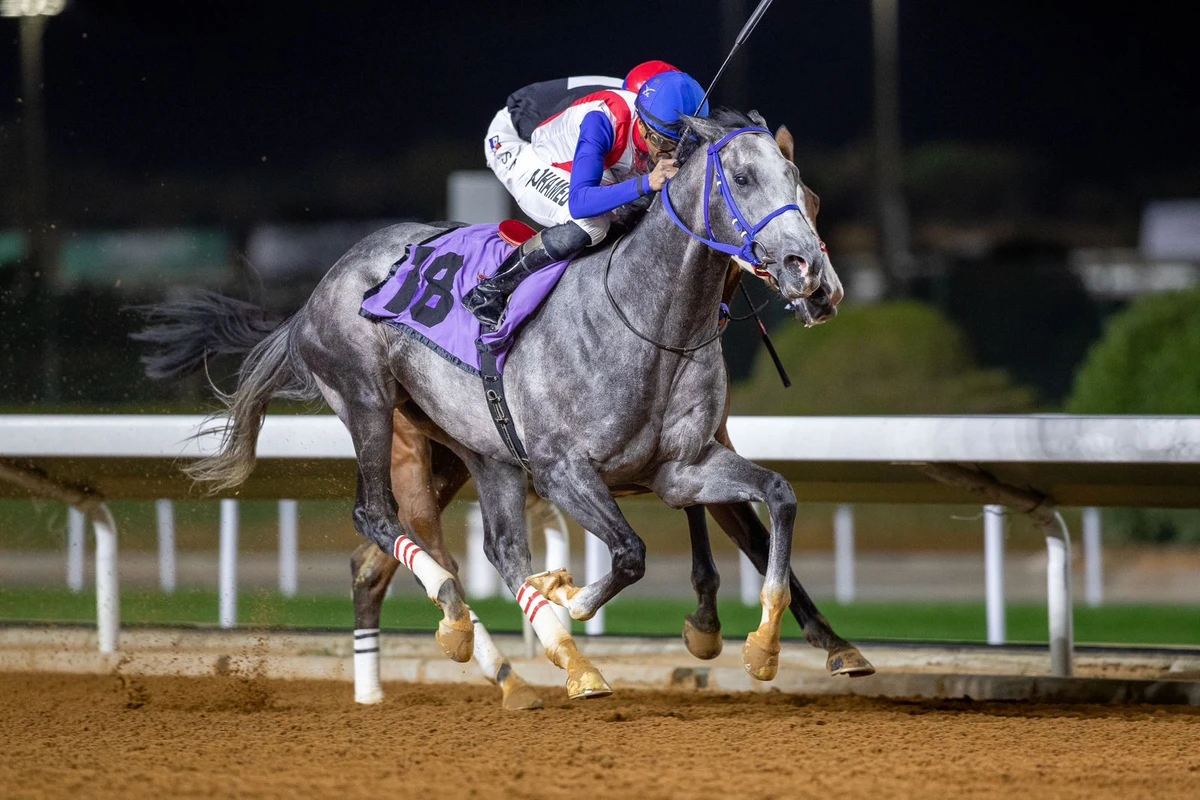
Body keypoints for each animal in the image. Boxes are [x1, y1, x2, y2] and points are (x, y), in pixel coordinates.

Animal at [171, 108, 871, 699]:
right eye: (744, 178)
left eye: (800, 183)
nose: (813, 277)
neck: (650, 322)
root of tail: (321, 287)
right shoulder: (564, 470)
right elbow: (631, 552)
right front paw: (575, 600)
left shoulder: (684, 466)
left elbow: (777, 497)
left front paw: (774, 647)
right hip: (369, 403)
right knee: (381, 519)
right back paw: (471, 625)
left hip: (476, 451)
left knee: (490, 550)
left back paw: (546, 666)